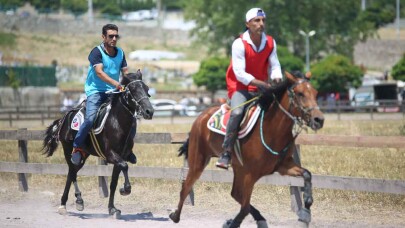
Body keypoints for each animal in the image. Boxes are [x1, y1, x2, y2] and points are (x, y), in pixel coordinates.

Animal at [41, 71, 153, 217]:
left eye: (146, 88)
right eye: (132, 90)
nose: (149, 111)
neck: (116, 122)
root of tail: (64, 118)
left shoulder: (120, 157)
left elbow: (114, 182)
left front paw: (112, 208)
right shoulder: (111, 154)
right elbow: (125, 166)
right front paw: (125, 189)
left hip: (84, 154)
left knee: (72, 173)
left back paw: (68, 202)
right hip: (68, 150)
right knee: (72, 173)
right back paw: (74, 202)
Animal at [169, 71, 324, 228]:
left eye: (316, 93)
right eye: (300, 93)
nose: (319, 119)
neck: (271, 130)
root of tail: (201, 116)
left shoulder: (283, 166)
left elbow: (307, 174)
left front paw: (306, 210)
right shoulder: (250, 175)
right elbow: (244, 208)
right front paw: (232, 223)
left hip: (238, 168)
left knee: (235, 194)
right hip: (198, 162)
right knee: (186, 187)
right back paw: (175, 215)